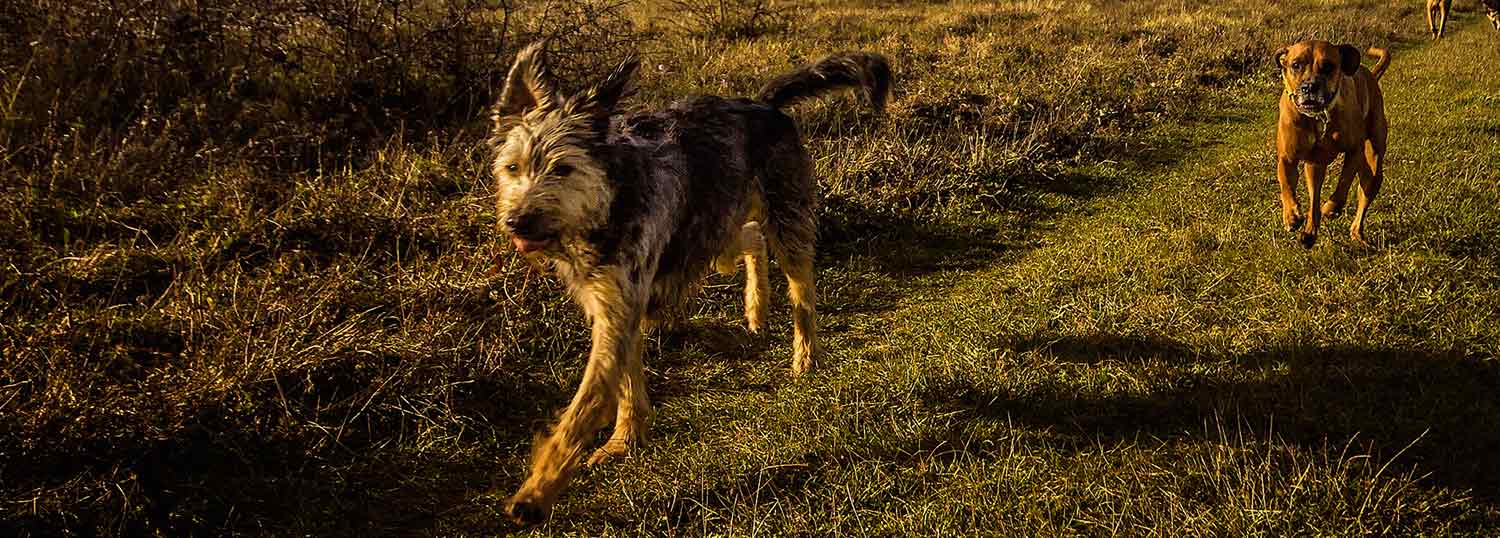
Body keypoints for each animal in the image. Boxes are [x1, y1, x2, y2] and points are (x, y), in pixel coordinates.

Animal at [489, 44, 888, 524]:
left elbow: (585, 405)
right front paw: (627, 437)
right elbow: (626, 381)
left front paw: (535, 492)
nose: (517, 220)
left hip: (786, 218)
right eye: (512, 168)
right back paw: (756, 308)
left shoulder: (620, 305)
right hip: (716, 228)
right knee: (749, 238)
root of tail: (763, 103)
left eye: (563, 168)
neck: (610, 201)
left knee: (802, 290)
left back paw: (805, 355)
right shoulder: (614, 303)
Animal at [1278, 41, 1392, 248]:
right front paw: (1290, 216)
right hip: (1315, 167)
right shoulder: (1287, 158)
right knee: (1314, 199)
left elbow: (1344, 182)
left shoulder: (1355, 151)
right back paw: (1309, 234)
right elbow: (1286, 185)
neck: (1317, 117)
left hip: (1373, 168)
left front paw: (1331, 208)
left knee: (1364, 193)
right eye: (1296, 65)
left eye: (1328, 66)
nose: (1309, 87)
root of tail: (1370, 75)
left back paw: (1357, 233)